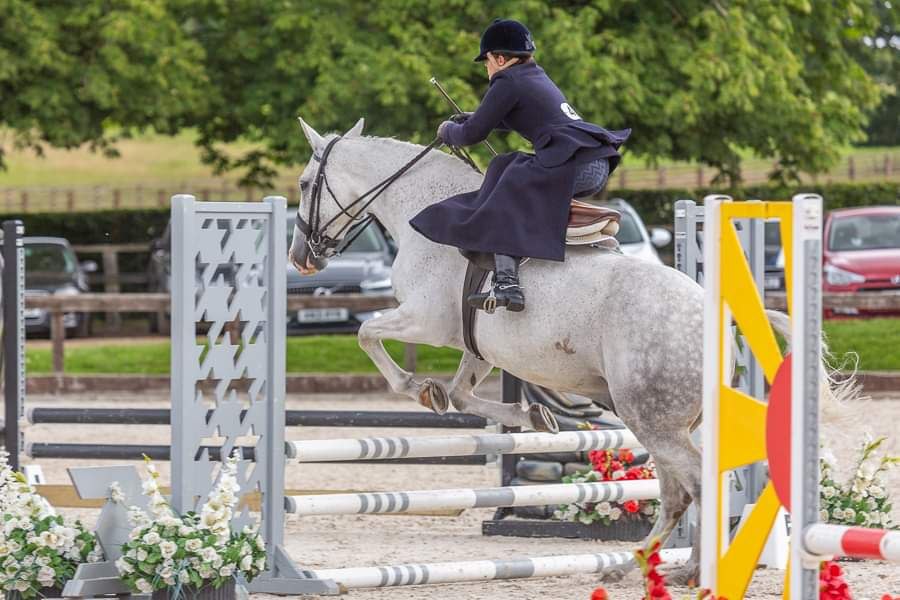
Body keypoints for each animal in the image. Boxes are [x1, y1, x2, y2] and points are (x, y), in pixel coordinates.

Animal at [288, 117, 852, 580]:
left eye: (303, 184)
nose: (301, 258)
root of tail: (719, 317)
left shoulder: (427, 319)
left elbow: (368, 334)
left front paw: (418, 387)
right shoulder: (477, 344)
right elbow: (466, 394)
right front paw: (529, 415)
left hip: (653, 418)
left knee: (692, 486)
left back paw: (687, 572)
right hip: (672, 421)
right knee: (680, 491)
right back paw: (641, 566)